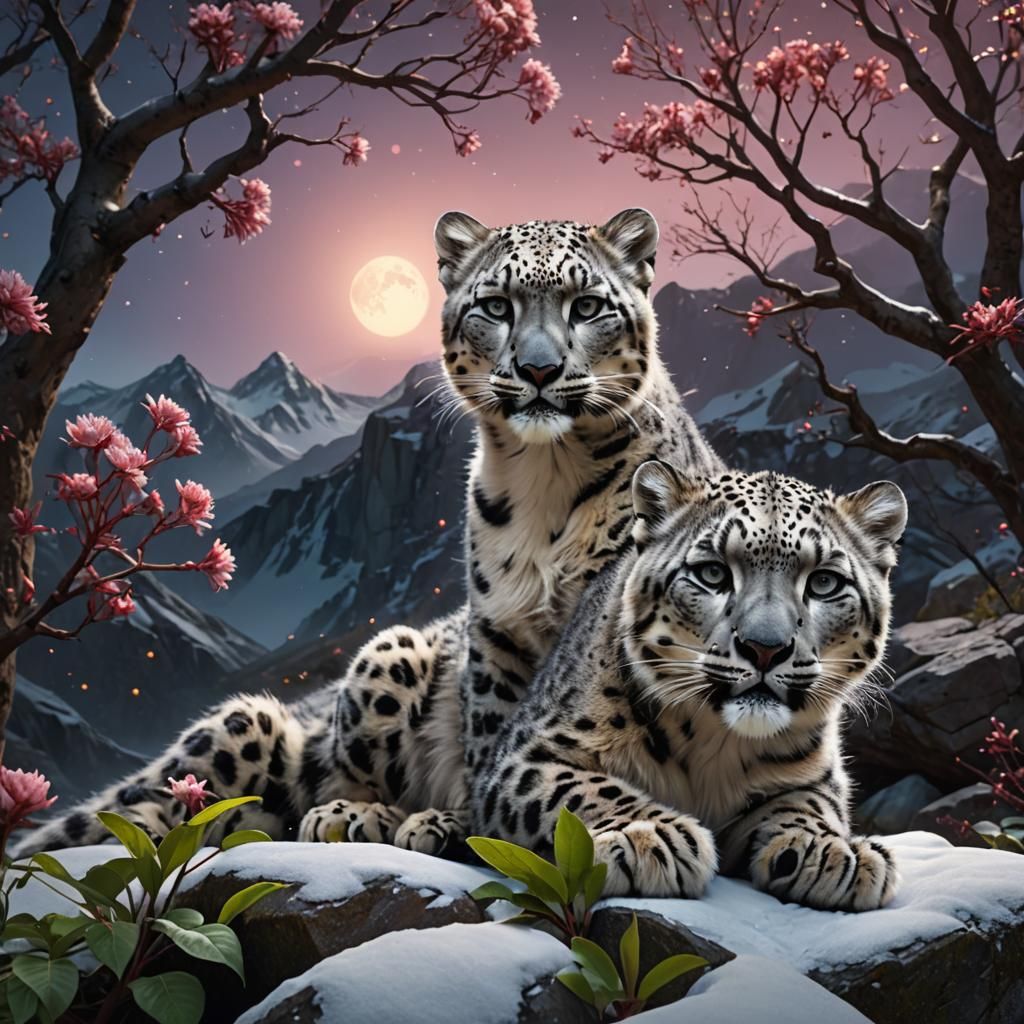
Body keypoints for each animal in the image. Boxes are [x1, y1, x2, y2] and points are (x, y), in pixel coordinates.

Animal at [14, 209, 722, 858]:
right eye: (496, 305)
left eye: (588, 305)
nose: (539, 369)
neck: (545, 484)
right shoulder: (498, 631)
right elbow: (490, 733)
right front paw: (476, 824)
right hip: (385, 657)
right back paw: (361, 817)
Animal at [475, 461, 907, 911]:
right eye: (712, 573)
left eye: (824, 582)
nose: (765, 648)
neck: (716, 747)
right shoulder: (525, 757)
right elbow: (580, 789)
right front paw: (647, 836)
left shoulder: (816, 774)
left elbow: (808, 803)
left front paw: (834, 851)